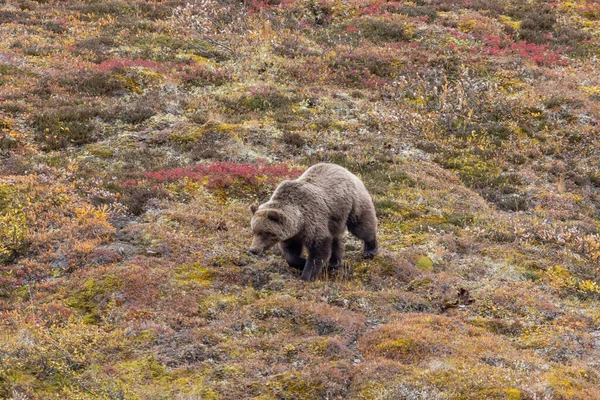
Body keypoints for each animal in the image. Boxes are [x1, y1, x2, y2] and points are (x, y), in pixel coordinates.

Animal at [246, 162, 378, 282]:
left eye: (264, 232)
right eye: (254, 231)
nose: (253, 250)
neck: (299, 222)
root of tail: (347, 170)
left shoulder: (313, 220)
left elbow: (318, 248)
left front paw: (307, 275)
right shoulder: (292, 235)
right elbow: (291, 253)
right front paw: (301, 262)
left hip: (352, 204)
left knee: (361, 226)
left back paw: (370, 250)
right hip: (335, 219)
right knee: (335, 238)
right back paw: (334, 262)